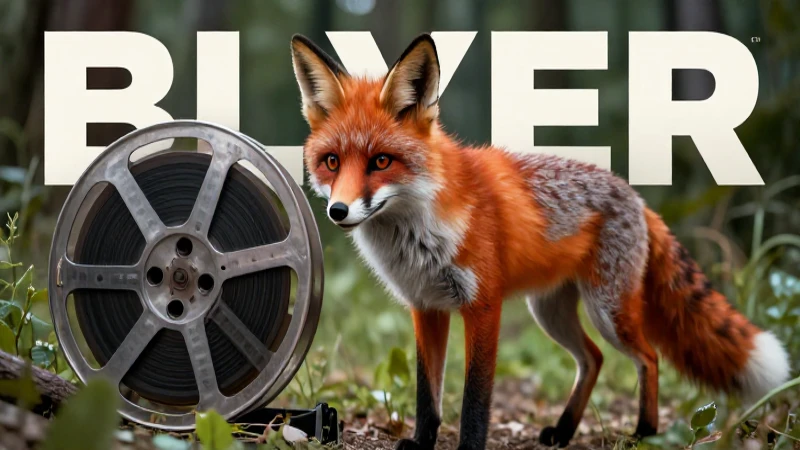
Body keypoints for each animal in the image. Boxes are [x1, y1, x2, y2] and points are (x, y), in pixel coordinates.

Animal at [289, 33, 791, 449]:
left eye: (381, 161)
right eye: (332, 162)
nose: (338, 211)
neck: (417, 230)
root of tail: (636, 196)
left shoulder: (482, 305)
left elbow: (474, 398)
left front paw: (468, 447)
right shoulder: (426, 307)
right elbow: (426, 395)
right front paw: (421, 443)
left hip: (609, 312)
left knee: (648, 357)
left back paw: (644, 432)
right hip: (551, 312)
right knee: (593, 359)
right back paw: (565, 431)